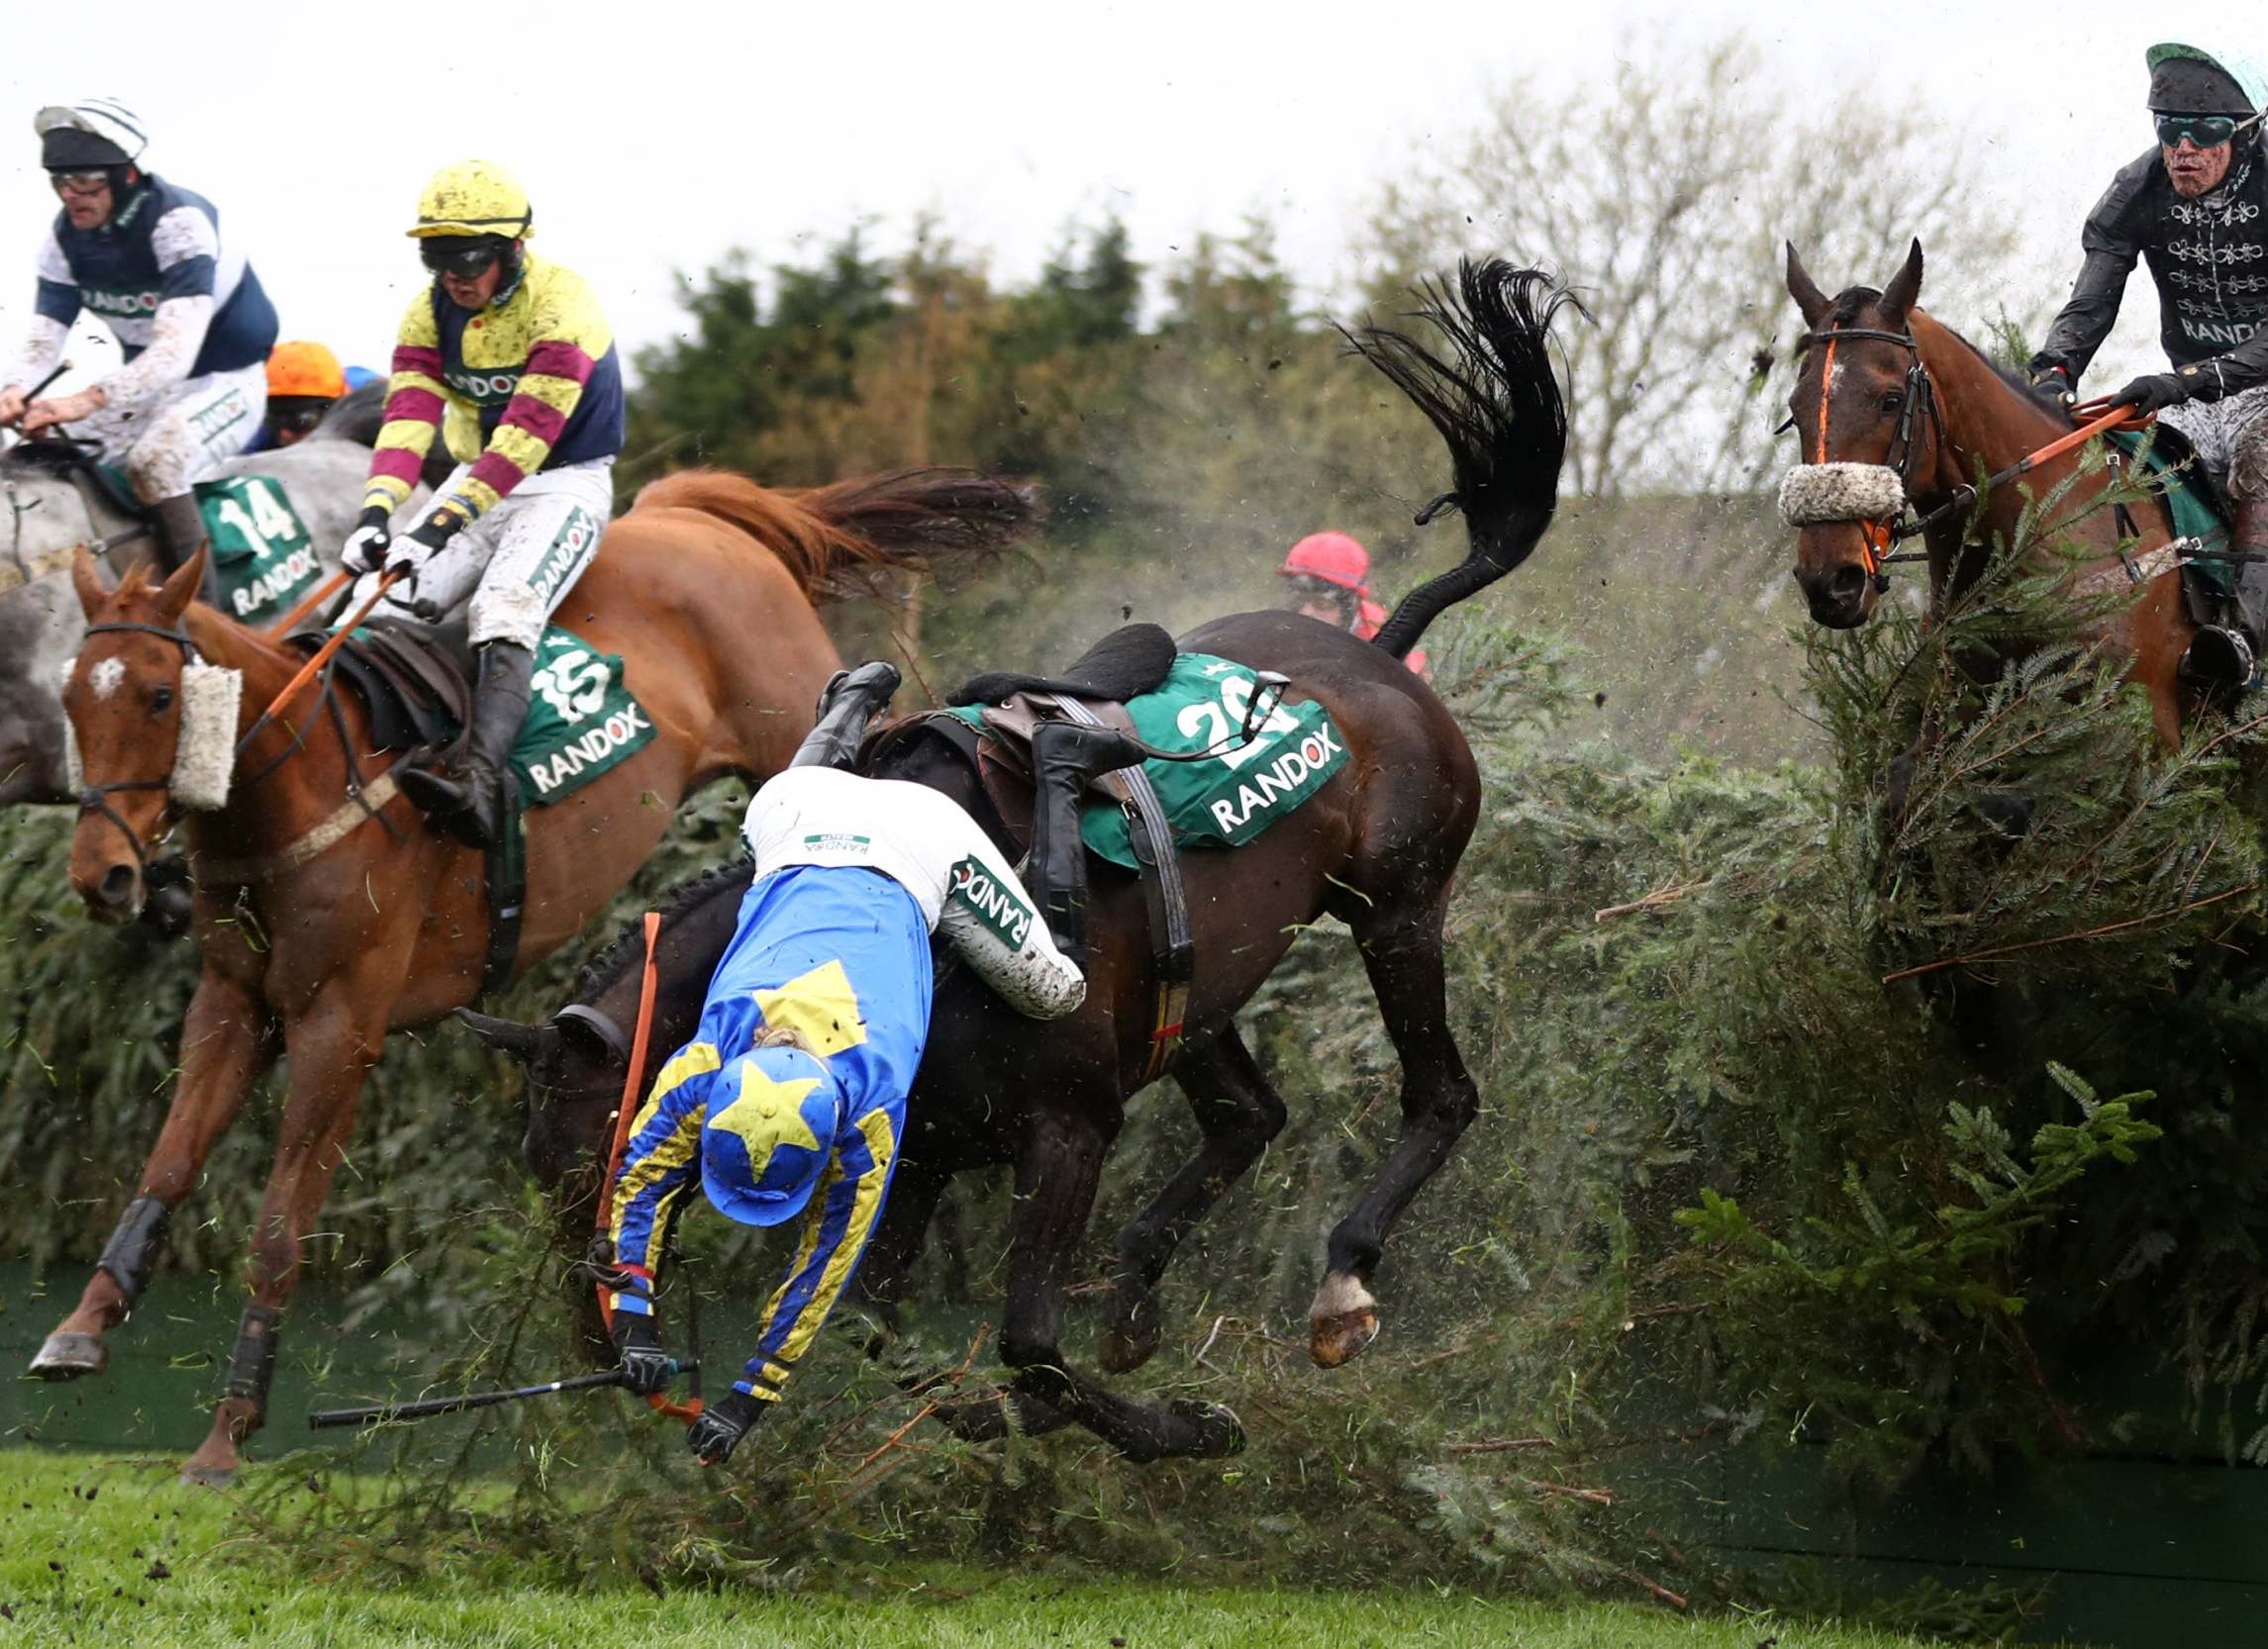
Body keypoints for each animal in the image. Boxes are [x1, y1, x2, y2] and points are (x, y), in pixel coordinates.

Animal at [36, 465, 1035, 1484]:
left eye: (160, 696)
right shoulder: (233, 1002)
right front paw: (81, 1328)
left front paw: (227, 1431)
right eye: (72, 696)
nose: (101, 875)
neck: (303, 786)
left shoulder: (340, 1027)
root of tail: (689, 509)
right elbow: (166, 1163)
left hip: (786, 721)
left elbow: (280, 1228)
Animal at [462, 260, 1574, 1463]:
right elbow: (872, 1323)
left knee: (1440, 1094)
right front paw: (1004, 1415)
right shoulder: (923, 1144)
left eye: (593, 1155)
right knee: (1249, 1115)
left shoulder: (1064, 1128)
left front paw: (1182, 1427)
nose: (602, 1348)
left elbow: (1029, 1341)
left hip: (1397, 906)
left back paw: (1340, 1285)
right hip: (1204, 983)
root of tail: (1382, 654)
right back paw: (1134, 1292)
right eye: (536, 1168)